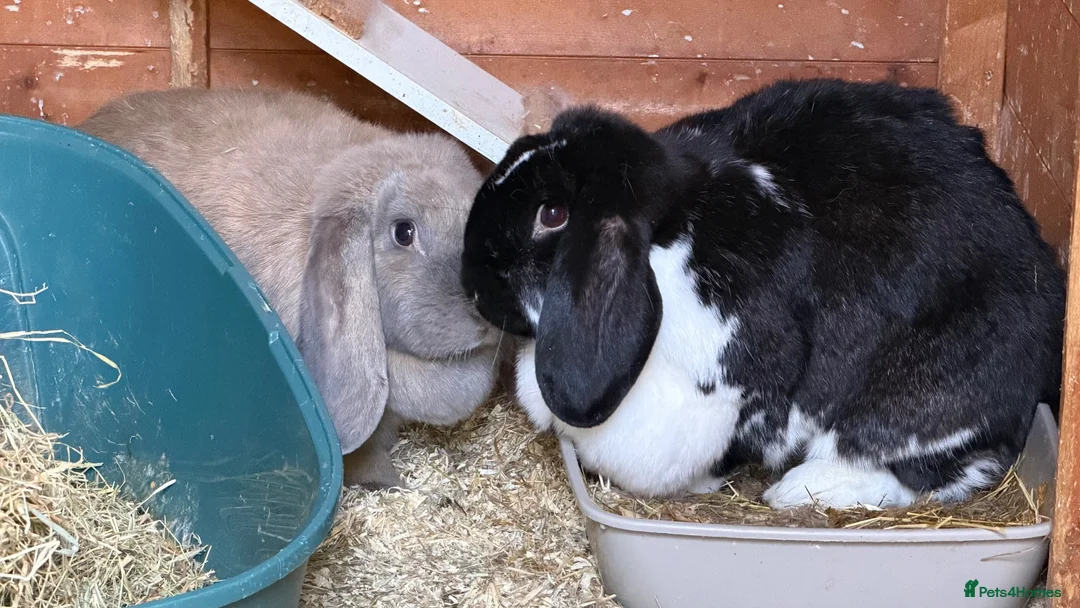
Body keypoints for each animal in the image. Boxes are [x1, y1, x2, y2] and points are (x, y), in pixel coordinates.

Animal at [460, 78, 1065, 510]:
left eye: (552, 215)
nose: (470, 284)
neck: (667, 233)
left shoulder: (739, 374)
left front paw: (708, 482)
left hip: (915, 399)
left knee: (939, 472)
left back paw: (801, 490)